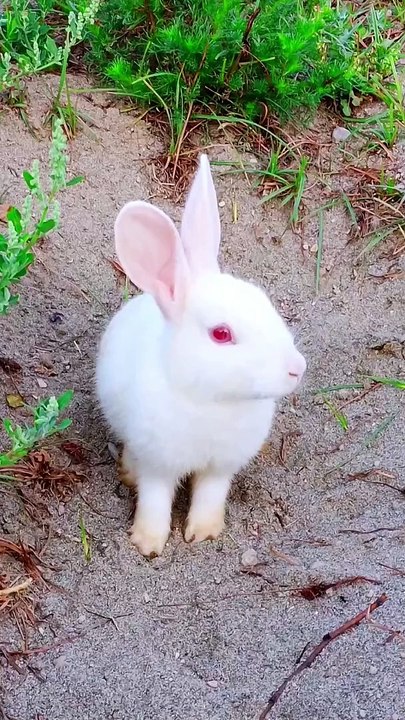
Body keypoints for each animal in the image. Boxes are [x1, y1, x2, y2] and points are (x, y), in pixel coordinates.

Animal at [96, 154, 306, 557]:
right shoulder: (158, 462)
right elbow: (154, 499)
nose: (296, 369)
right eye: (221, 334)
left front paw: (204, 533)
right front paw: (148, 544)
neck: (211, 400)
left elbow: (210, 495)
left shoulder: (221, 466)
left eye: (265, 303)